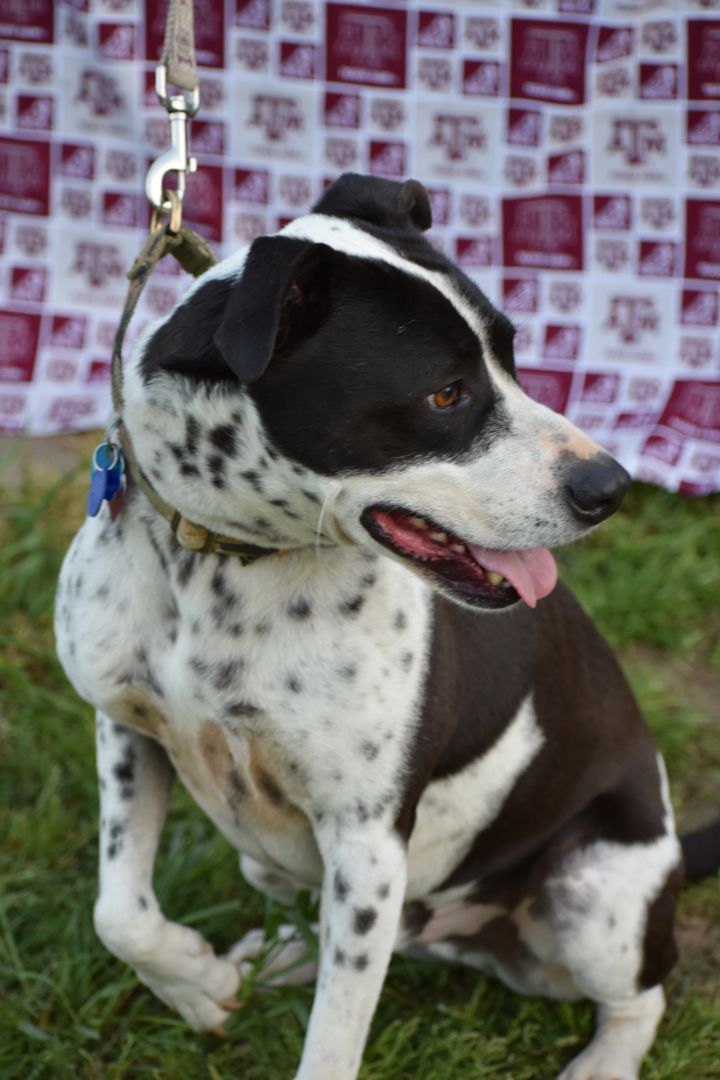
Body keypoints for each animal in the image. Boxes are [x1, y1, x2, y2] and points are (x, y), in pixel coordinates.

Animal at [55, 172, 716, 1075]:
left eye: (512, 356)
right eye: (445, 393)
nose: (609, 488)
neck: (225, 564)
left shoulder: (367, 840)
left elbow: (333, 1042)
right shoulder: (127, 729)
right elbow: (117, 913)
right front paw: (197, 983)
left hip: (593, 895)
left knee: (643, 994)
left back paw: (603, 1063)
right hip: (283, 866)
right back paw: (279, 958)